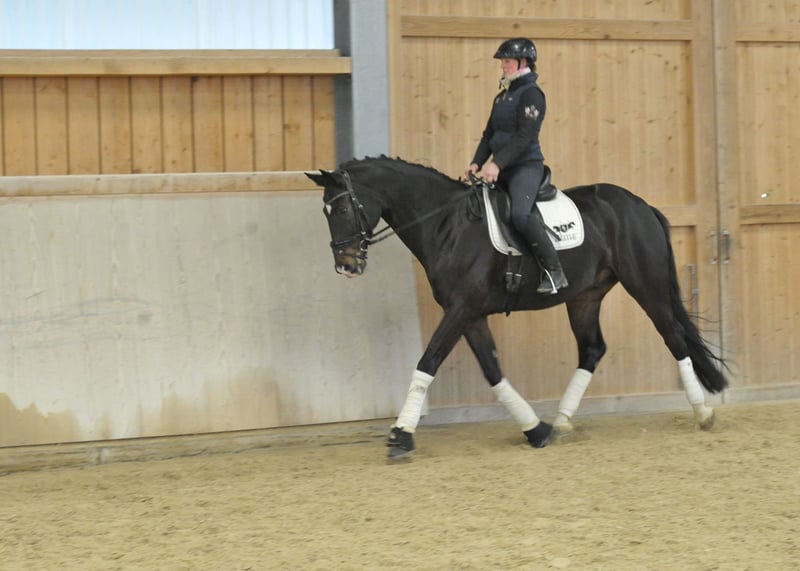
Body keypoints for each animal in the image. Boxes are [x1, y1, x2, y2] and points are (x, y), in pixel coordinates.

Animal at [306, 156, 728, 459]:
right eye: (326, 212)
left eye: (341, 210)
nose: (346, 266)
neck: (448, 225)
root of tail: (641, 204)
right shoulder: (471, 315)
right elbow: (492, 370)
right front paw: (535, 429)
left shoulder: (461, 308)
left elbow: (427, 363)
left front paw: (401, 435)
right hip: (584, 298)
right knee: (593, 349)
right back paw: (561, 421)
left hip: (646, 284)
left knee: (673, 336)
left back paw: (704, 413)